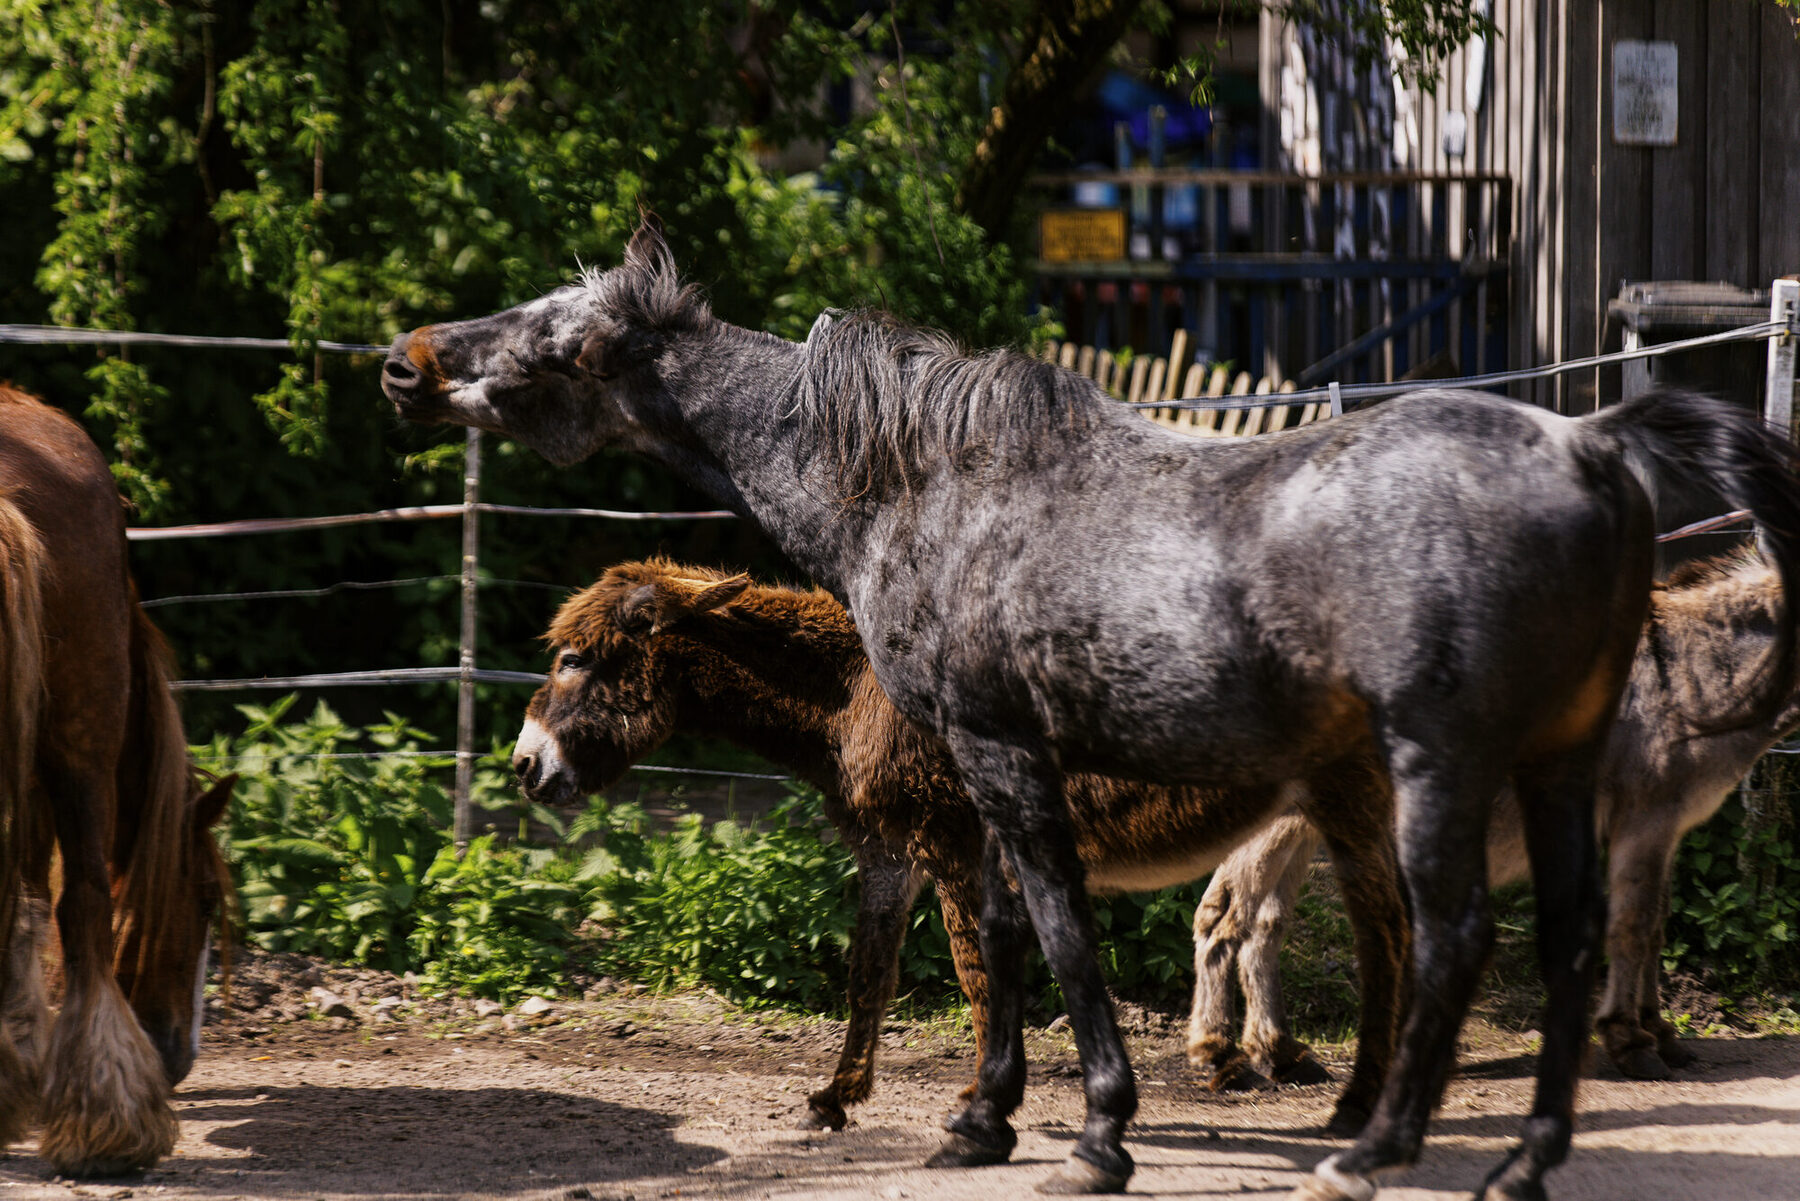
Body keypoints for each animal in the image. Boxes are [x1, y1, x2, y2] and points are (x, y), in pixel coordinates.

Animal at [512, 557, 1403, 1134]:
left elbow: (977, 974)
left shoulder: (955, 846)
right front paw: (836, 1096)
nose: (522, 765)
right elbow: (870, 973)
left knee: (1389, 937)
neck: (855, 694)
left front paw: (982, 1097)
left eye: (573, 659)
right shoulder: (888, 850)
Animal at [1190, 547, 1800, 1089]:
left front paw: (1660, 1034)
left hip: (1304, 819)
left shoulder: (1668, 827)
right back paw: (1224, 1055)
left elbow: (1656, 927)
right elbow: (1635, 924)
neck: (1690, 674)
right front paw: (1631, 1042)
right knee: (1226, 918)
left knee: (1263, 923)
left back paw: (1278, 1053)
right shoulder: (1644, 818)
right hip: (1278, 819)